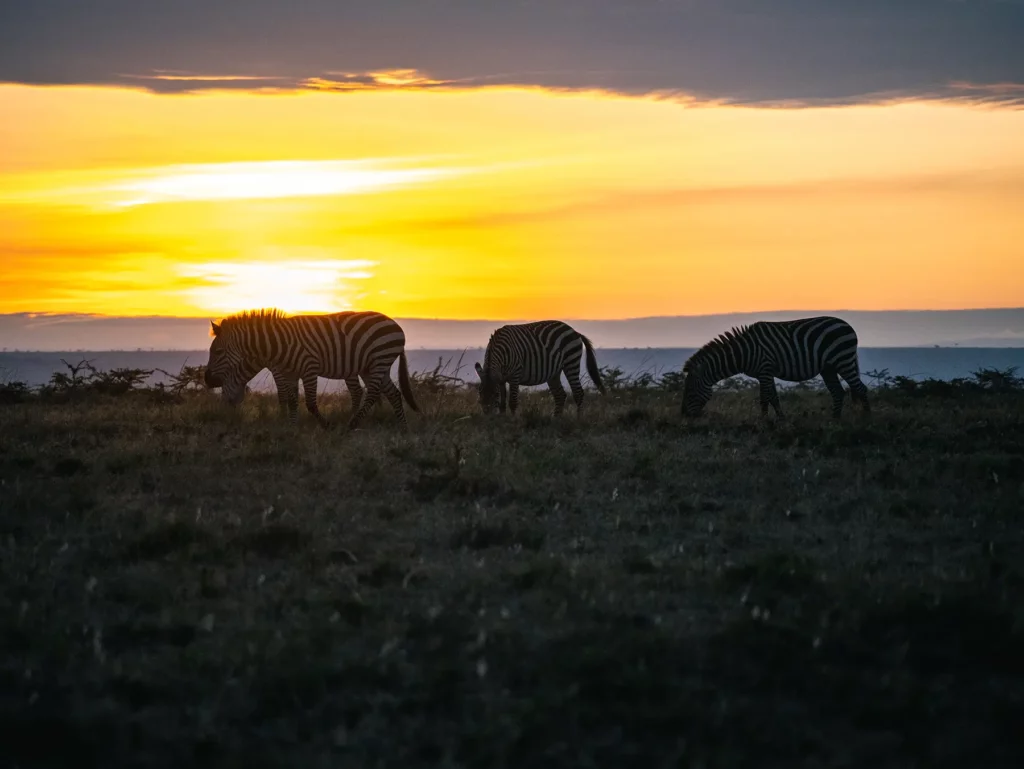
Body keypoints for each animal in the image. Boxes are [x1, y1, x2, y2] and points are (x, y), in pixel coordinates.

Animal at [203, 309, 420, 428]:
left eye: (218, 351)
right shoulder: (289, 372)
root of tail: (396, 325)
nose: (207, 380)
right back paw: (403, 427)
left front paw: (326, 426)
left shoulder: (306, 369)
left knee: (372, 393)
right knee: (393, 393)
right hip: (372, 366)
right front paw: (291, 427)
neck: (274, 345)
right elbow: (292, 400)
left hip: (378, 360)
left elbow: (307, 403)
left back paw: (352, 424)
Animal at [473, 320, 605, 415]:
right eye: (479, 395)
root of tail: (575, 331)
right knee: (560, 395)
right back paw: (556, 420)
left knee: (578, 393)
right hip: (554, 372)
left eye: (495, 395)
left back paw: (578, 420)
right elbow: (502, 404)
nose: (489, 418)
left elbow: (512, 402)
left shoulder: (515, 374)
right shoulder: (501, 379)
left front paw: (512, 423)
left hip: (571, 361)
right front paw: (502, 421)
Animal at [681, 316, 870, 419]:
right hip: (829, 368)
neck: (745, 352)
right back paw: (835, 420)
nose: (685, 415)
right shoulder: (764, 373)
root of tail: (848, 326)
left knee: (861, 389)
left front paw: (764, 421)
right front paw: (779, 419)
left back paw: (866, 420)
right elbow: (773, 397)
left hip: (843, 360)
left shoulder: (765, 369)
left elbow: (765, 398)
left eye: (690, 391)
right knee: (838, 392)